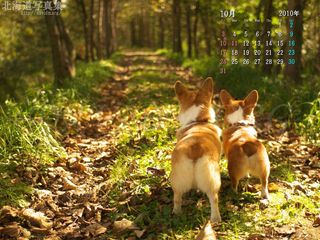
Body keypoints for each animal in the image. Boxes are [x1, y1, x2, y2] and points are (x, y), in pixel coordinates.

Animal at [171, 78, 221, 222]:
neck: (198, 121)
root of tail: (195, 148)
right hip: (212, 177)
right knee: (214, 198)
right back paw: (216, 220)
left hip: (176, 179)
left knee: (177, 198)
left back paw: (177, 214)